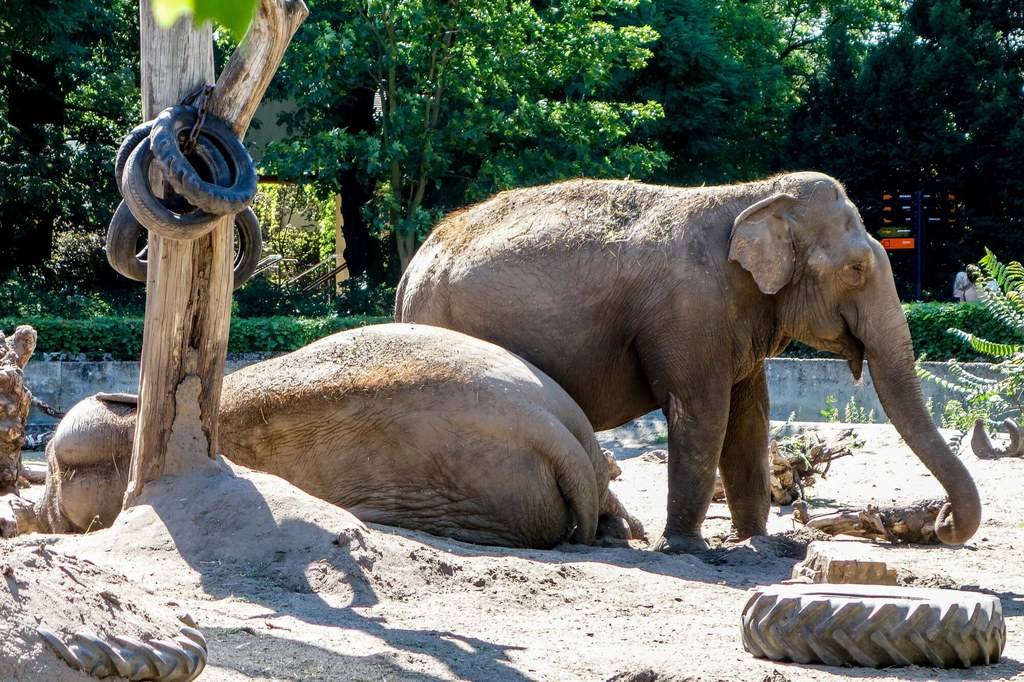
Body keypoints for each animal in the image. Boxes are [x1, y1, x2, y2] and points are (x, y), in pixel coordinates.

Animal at [393, 171, 983, 552]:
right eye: (857, 268)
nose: (942, 520)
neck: (755, 195)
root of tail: (411, 267)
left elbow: (750, 419)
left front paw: (756, 541)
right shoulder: (692, 315)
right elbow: (704, 415)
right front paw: (686, 548)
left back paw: (616, 535)